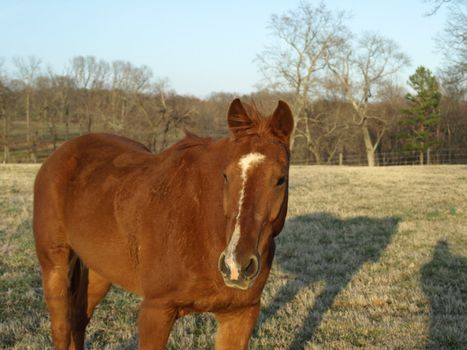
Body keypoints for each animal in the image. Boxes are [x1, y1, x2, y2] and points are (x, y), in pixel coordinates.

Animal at [33, 97, 294, 348]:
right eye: (226, 175)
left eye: (281, 179)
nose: (235, 265)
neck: (202, 227)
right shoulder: (156, 312)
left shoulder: (240, 315)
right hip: (55, 268)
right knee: (62, 329)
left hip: (99, 271)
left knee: (78, 320)